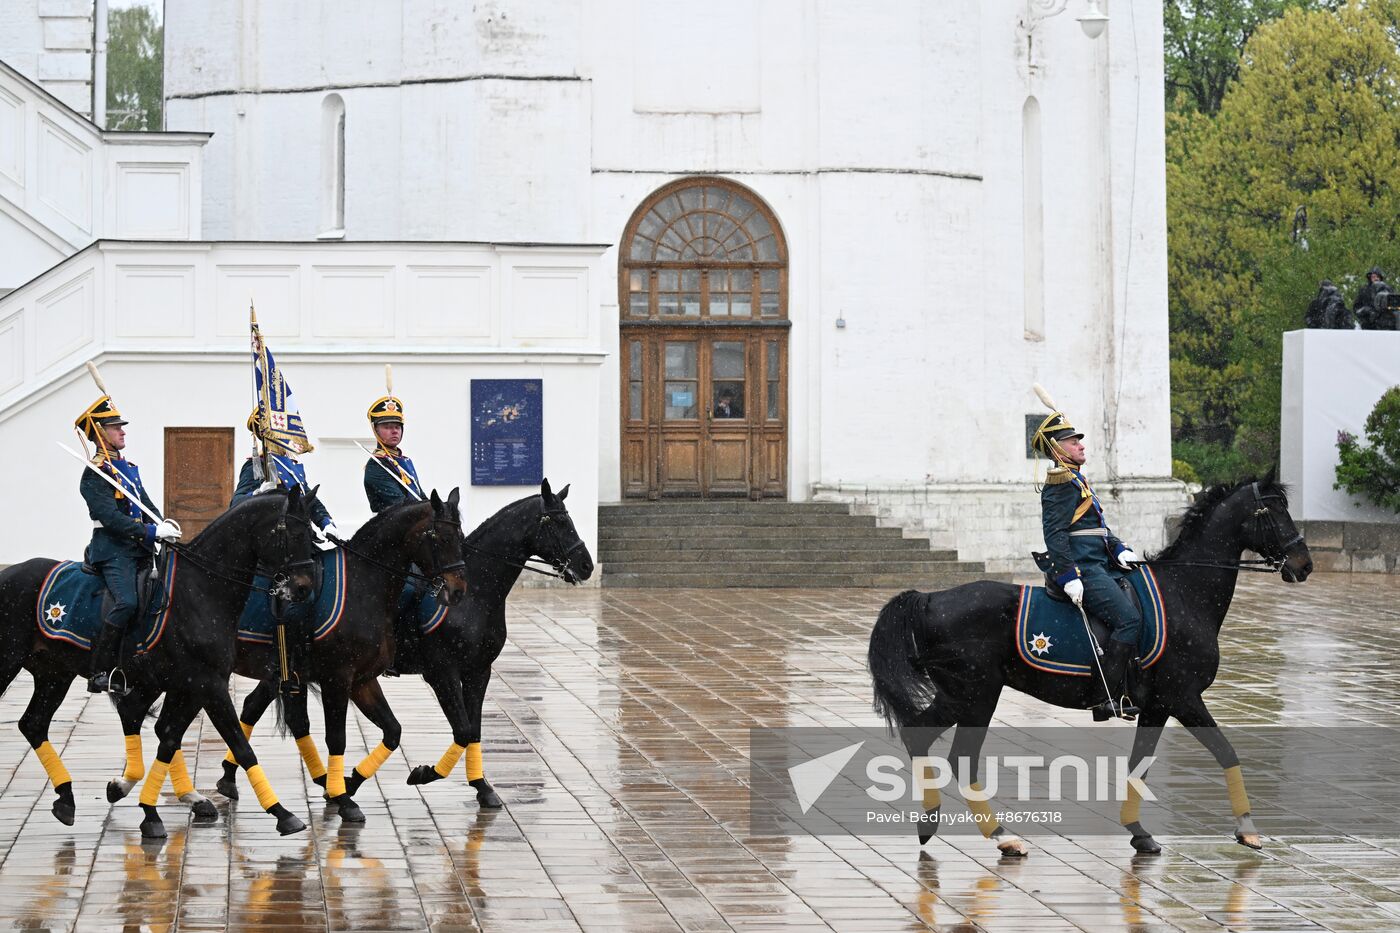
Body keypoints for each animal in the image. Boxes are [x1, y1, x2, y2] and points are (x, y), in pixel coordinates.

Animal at [0, 487, 317, 834]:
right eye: (294, 533)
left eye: (313, 533)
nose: (304, 588)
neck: (201, 588)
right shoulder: (209, 684)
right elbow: (239, 745)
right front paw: (281, 812)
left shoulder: (190, 685)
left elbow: (169, 738)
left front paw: (147, 808)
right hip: (13, 663)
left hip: (55, 673)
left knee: (35, 723)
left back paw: (67, 798)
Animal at [205, 490, 470, 818]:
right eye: (439, 537)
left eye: (460, 536)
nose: (457, 590)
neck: (365, 586)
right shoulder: (338, 678)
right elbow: (337, 739)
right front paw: (344, 798)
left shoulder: (363, 680)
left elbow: (393, 731)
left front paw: (347, 783)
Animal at [862, 476, 1310, 851]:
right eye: (1274, 512)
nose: (1303, 564)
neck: (1185, 593)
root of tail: (929, 599)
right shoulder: (1182, 698)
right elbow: (1226, 752)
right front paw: (1247, 828)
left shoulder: (1157, 706)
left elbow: (1139, 764)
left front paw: (1138, 832)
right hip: (975, 695)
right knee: (959, 755)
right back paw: (1002, 836)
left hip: (960, 695)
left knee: (921, 737)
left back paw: (932, 823)